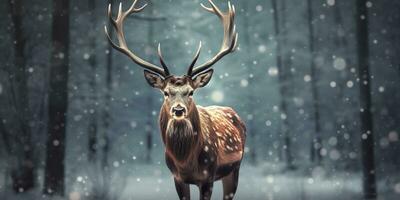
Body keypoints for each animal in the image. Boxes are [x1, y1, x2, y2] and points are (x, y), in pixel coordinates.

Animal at [104, 0, 245, 199]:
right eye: (165, 92)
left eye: (191, 92)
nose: (178, 110)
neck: (185, 163)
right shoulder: (177, 177)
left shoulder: (208, 176)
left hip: (235, 168)